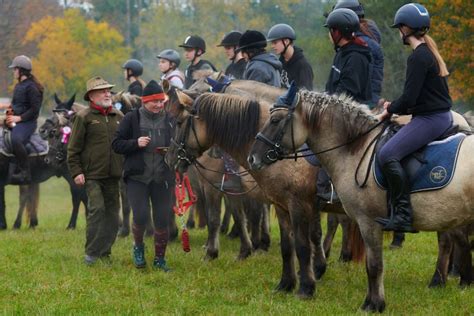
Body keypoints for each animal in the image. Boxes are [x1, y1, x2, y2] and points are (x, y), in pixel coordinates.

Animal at [163, 87, 362, 298]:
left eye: (179, 122)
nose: (169, 158)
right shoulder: (279, 204)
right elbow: (285, 243)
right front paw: (285, 282)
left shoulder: (297, 205)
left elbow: (301, 244)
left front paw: (306, 287)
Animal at [246, 89, 472, 312]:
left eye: (275, 120)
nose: (252, 158)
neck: (355, 149)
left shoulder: (367, 221)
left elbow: (374, 265)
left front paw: (374, 305)